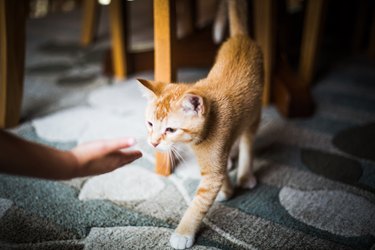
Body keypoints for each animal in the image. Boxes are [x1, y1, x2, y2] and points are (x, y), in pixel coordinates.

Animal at [137, 0, 262, 248]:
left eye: (170, 130)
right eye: (150, 124)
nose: (153, 143)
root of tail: (240, 37)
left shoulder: (212, 168)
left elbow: (199, 203)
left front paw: (183, 233)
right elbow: (221, 169)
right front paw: (227, 188)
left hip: (255, 111)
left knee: (247, 139)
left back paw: (244, 174)